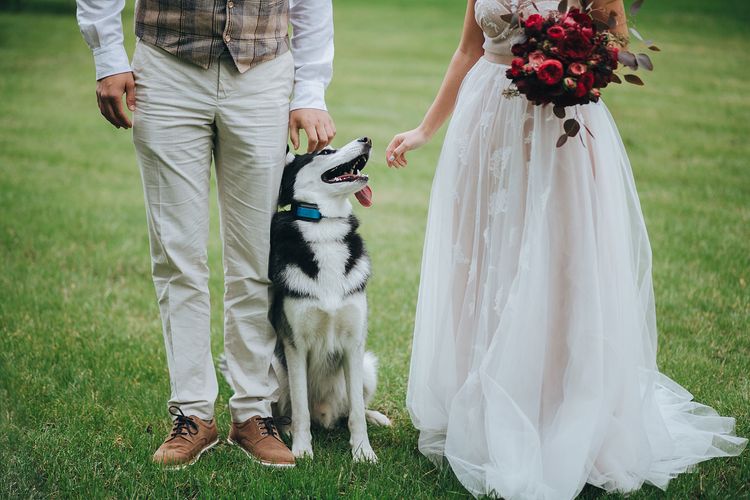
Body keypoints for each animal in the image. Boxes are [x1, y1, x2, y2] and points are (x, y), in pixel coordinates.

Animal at [220, 136, 390, 460]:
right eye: (325, 151)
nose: (366, 139)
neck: (324, 227)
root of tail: (325, 415)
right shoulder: (294, 344)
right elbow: (300, 409)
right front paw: (301, 451)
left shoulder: (354, 343)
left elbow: (356, 414)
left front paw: (363, 452)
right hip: (275, 368)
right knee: (285, 411)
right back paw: (282, 431)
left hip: (367, 366)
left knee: (350, 409)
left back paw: (377, 417)